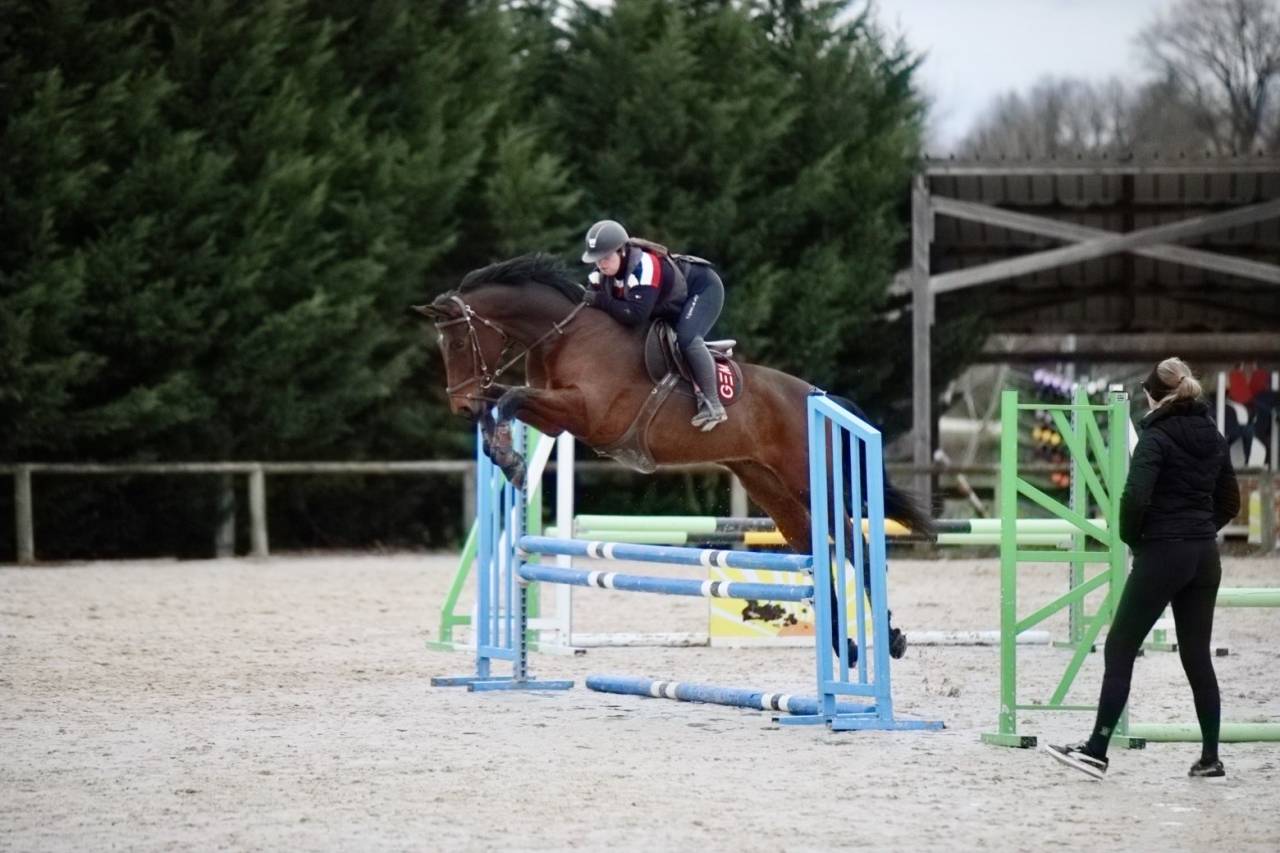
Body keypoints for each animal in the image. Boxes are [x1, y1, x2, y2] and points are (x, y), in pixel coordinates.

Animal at [411, 253, 934, 661]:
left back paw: (890, 639)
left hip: (810, 478)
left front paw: (512, 461)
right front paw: (503, 453)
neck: (564, 335)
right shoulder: (557, 420)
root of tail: (819, 396)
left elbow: (510, 397)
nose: (459, 405)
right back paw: (847, 646)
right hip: (770, 487)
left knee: (854, 543)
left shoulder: (586, 413)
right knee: (816, 548)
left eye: (458, 341)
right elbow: (503, 401)